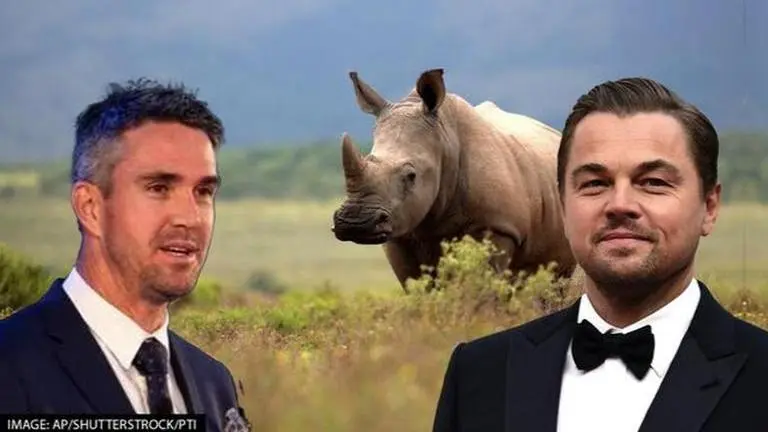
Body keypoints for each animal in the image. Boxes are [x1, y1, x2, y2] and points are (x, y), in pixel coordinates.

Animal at [331, 68, 576, 291]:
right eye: (367, 159)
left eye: (411, 176)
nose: (355, 222)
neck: (444, 141)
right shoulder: (399, 233)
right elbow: (417, 288)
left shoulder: (498, 227)